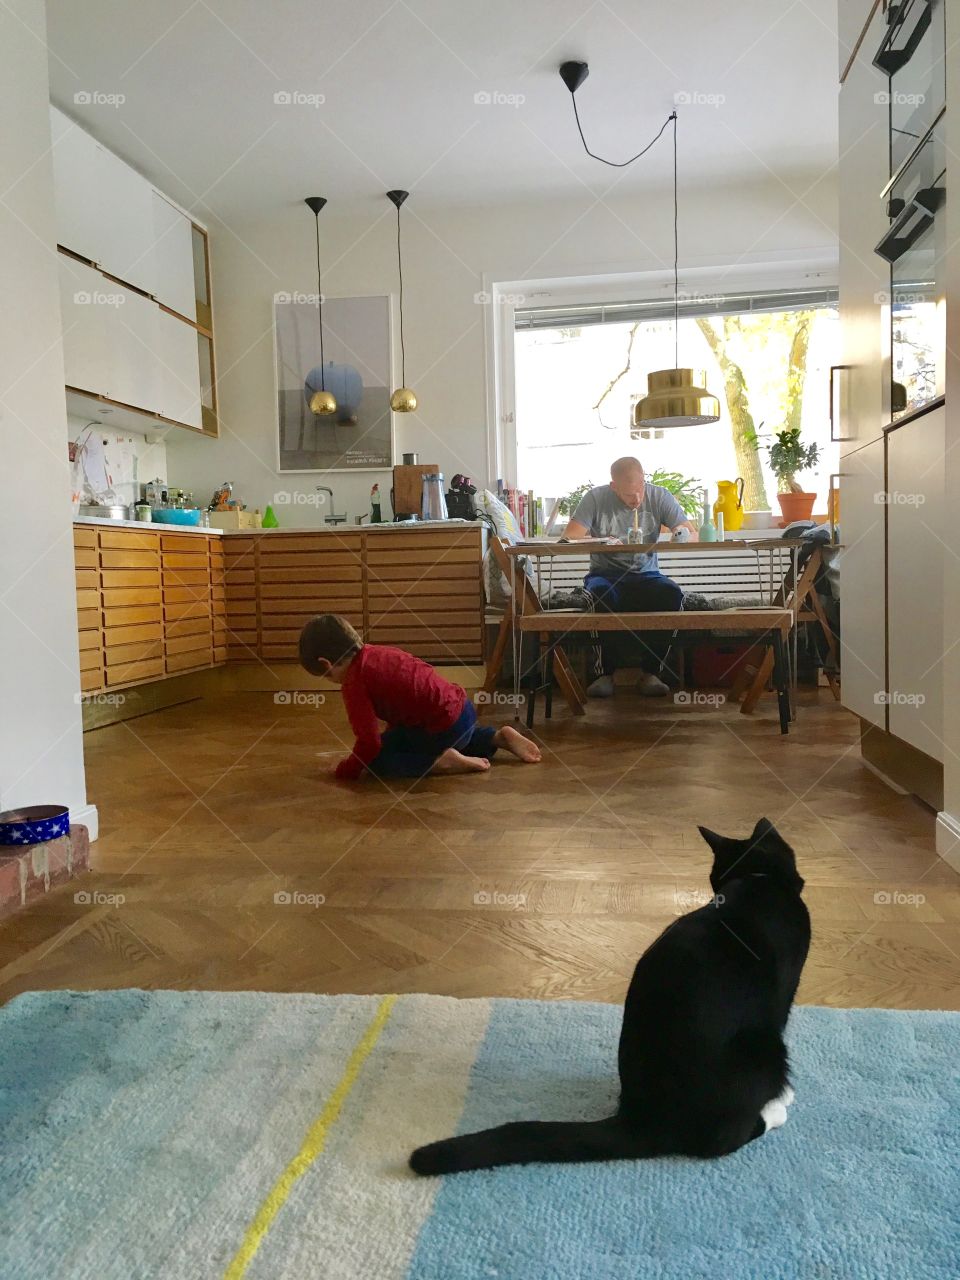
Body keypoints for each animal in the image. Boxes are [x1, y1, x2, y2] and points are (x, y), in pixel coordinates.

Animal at [412, 824, 814, 1172]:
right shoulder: (785, 992)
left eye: (715, 876)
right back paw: (776, 1108)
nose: (713, 886)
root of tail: (641, 1117)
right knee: (721, 1141)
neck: (758, 881)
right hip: (764, 1047)